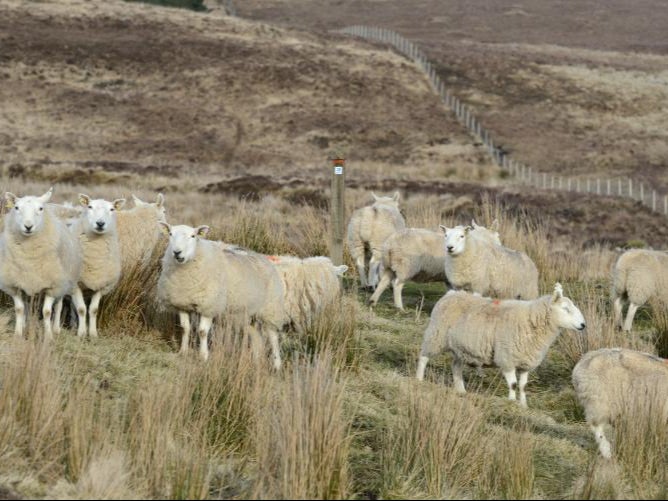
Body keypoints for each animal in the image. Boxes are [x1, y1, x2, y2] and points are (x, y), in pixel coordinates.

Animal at [0, 188, 82, 340]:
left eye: (40, 208)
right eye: (16, 208)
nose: (28, 226)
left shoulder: (52, 284)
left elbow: (47, 312)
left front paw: (48, 336)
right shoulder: (15, 284)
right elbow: (19, 309)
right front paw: (18, 334)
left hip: (62, 282)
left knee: (59, 305)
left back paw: (56, 329)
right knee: (27, 306)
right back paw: (26, 326)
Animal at [70, 193, 126, 338]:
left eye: (112, 209)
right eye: (90, 206)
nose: (100, 223)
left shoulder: (101, 285)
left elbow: (93, 310)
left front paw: (93, 334)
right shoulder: (76, 284)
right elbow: (81, 309)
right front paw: (81, 334)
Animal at [158, 221, 286, 366]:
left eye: (193, 236)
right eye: (170, 234)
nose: (177, 252)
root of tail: (264, 258)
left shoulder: (209, 305)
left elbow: (202, 332)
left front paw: (203, 356)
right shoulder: (182, 304)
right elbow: (185, 328)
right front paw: (183, 352)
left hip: (270, 308)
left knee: (273, 337)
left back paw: (277, 364)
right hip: (249, 313)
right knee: (256, 337)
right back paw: (256, 362)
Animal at [370, 222, 500, 308]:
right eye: (498, 236)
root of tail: (390, 243)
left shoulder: (449, 278)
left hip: (390, 265)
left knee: (383, 282)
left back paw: (373, 301)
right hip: (406, 266)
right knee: (397, 285)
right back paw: (399, 307)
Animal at [418, 282, 584, 406]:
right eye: (565, 309)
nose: (583, 325)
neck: (532, 320)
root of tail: (452, 294)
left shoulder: (525, 362)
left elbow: (523, 386)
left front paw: (523, 405)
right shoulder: (507, 357)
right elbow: (513, 384)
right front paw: (511, 402)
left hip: (462, 348)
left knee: (456, 367)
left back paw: (461, 390)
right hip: (436, 335)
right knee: (423, 357)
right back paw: (418, 379)